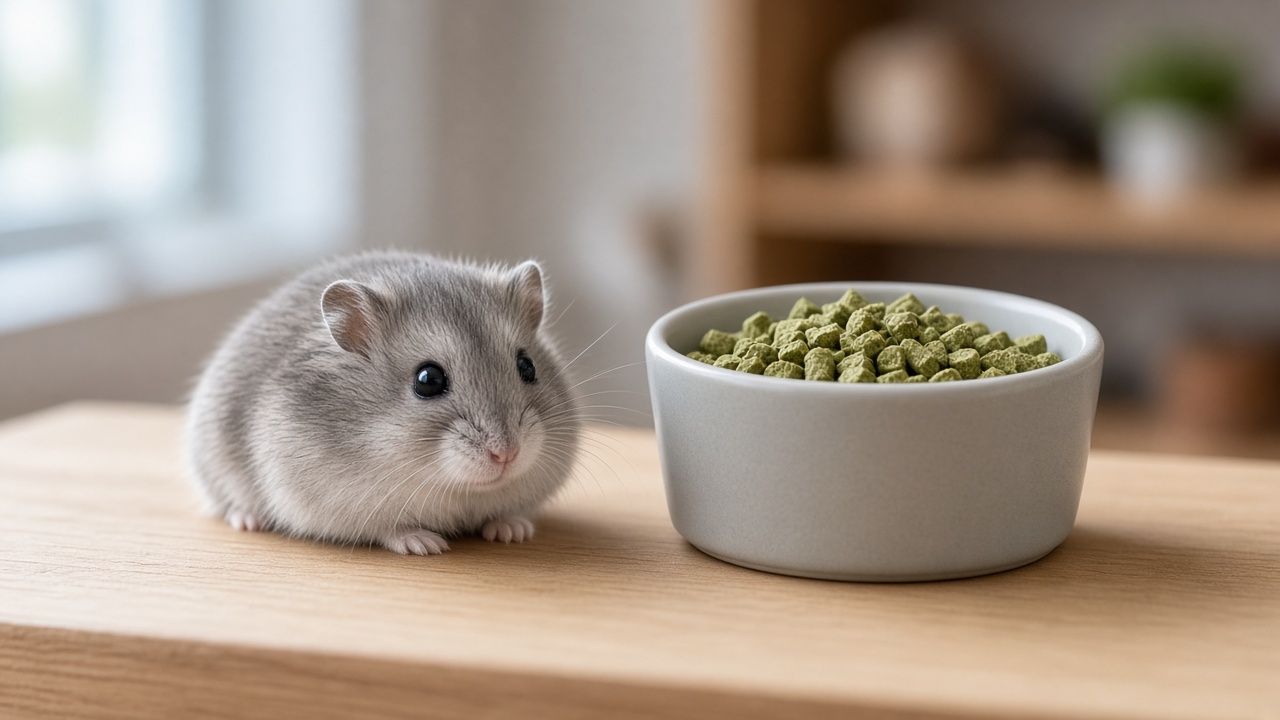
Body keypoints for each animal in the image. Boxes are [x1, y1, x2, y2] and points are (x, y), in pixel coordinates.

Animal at [185, 251, 582, 555]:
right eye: (428, 380)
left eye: (527, 366)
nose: (507, 454)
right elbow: (389, 528)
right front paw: (426, 544)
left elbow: (508, 514)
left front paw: (513, 531)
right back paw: (248, 520)